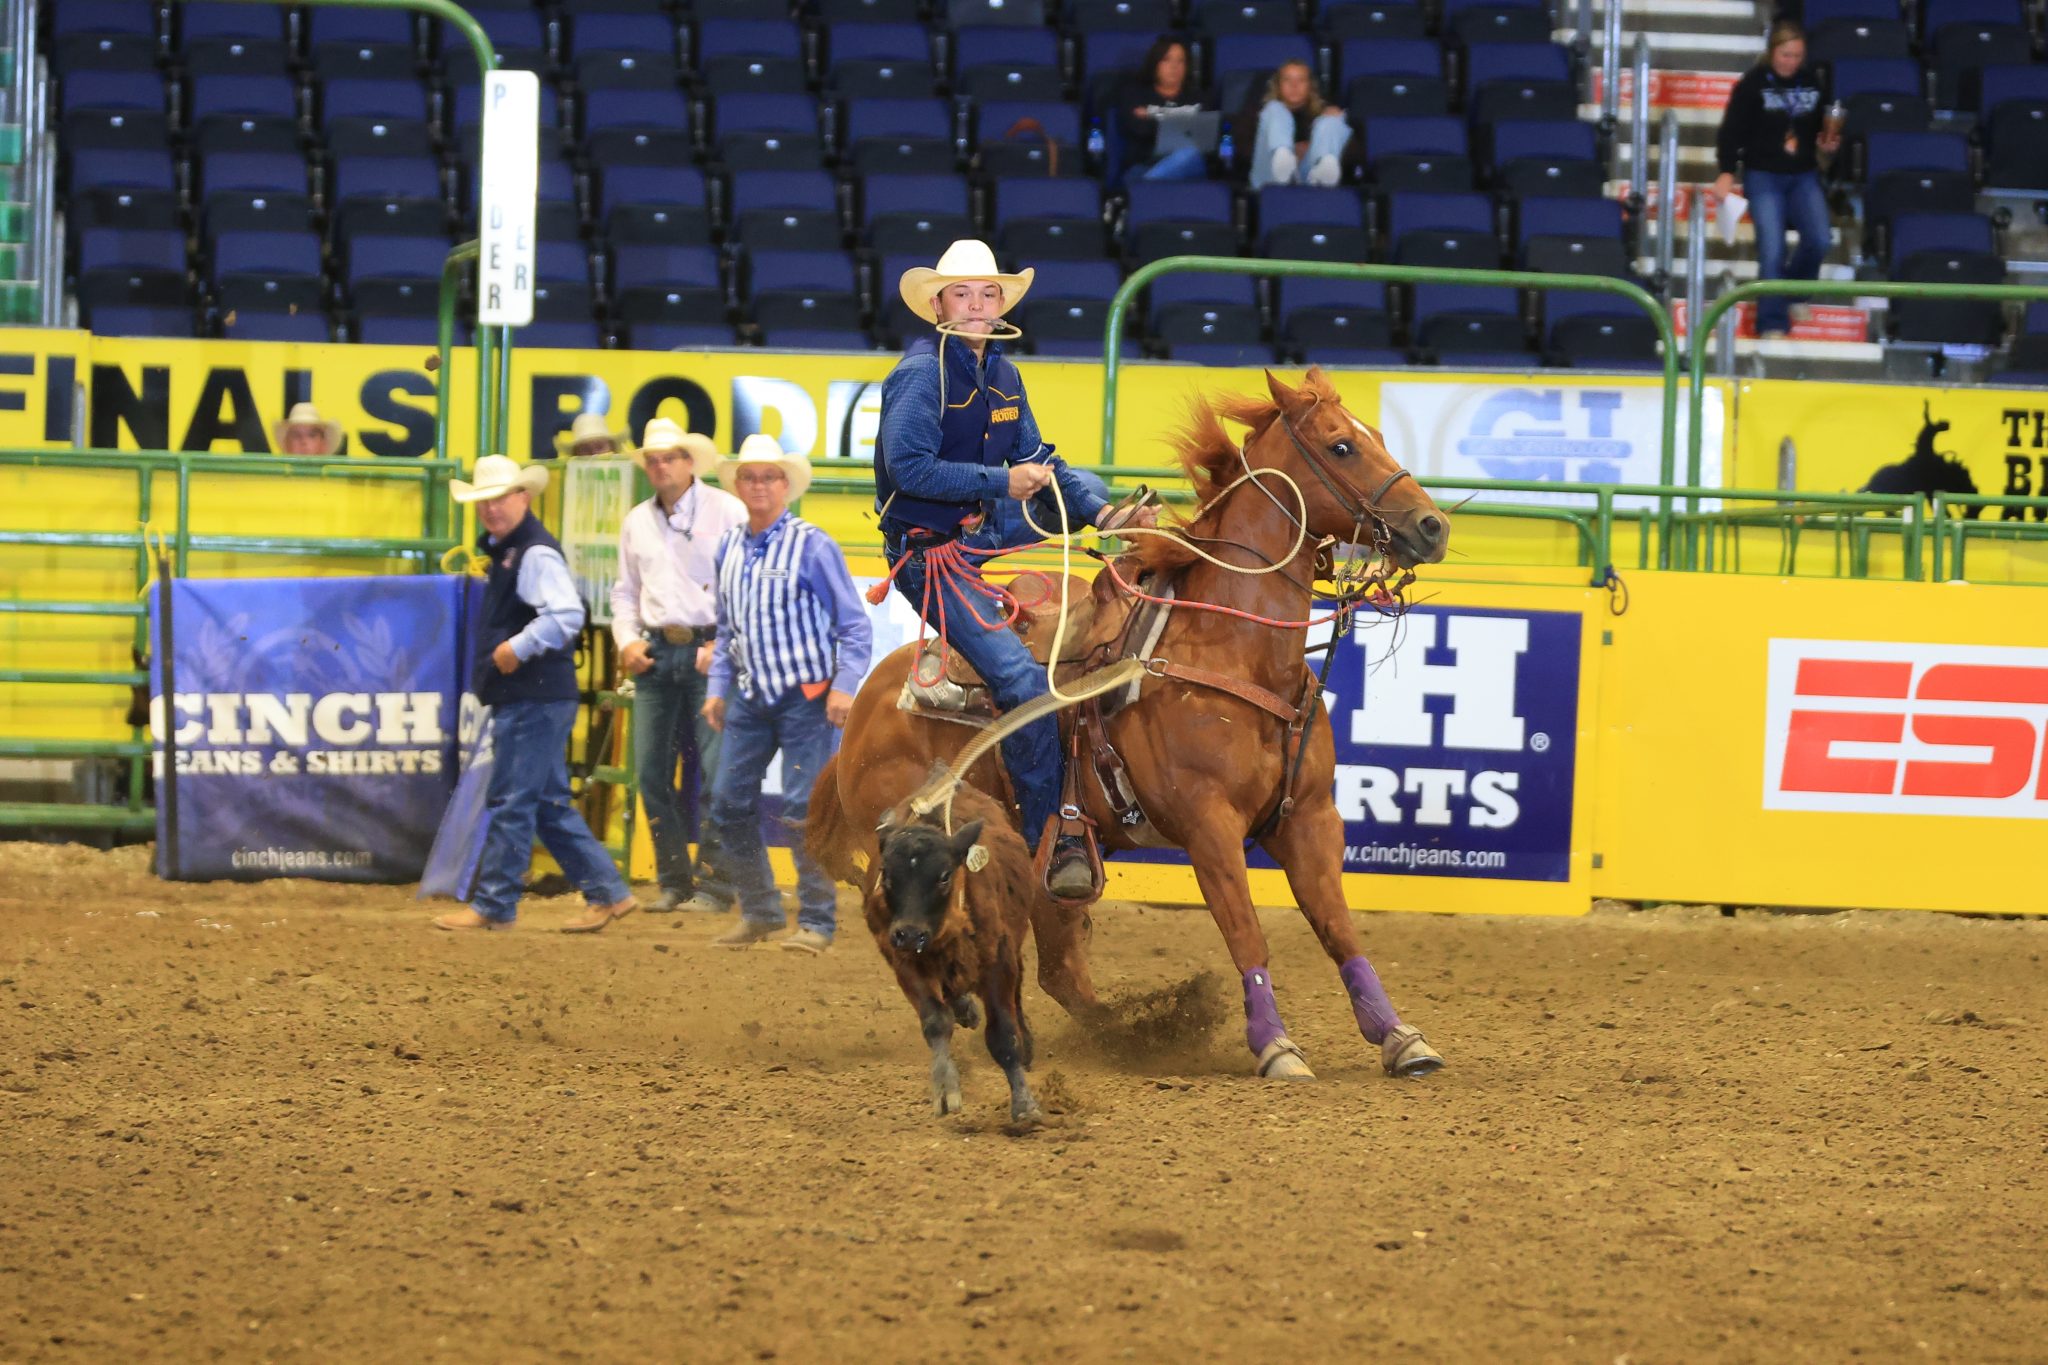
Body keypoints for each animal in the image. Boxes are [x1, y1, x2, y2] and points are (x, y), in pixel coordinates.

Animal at [806, 368, 1449, 1080]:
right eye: (1341, 447)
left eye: (1379, 437)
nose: (1432, 526)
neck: (1230, 648)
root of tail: (865, 706)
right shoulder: (1208, 827)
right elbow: (1247, 932)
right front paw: (1276, 1045)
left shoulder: (1308, 819)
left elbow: (1338, 928)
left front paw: (1399, 1035)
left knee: (1060, 967)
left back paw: (1123, 1032)